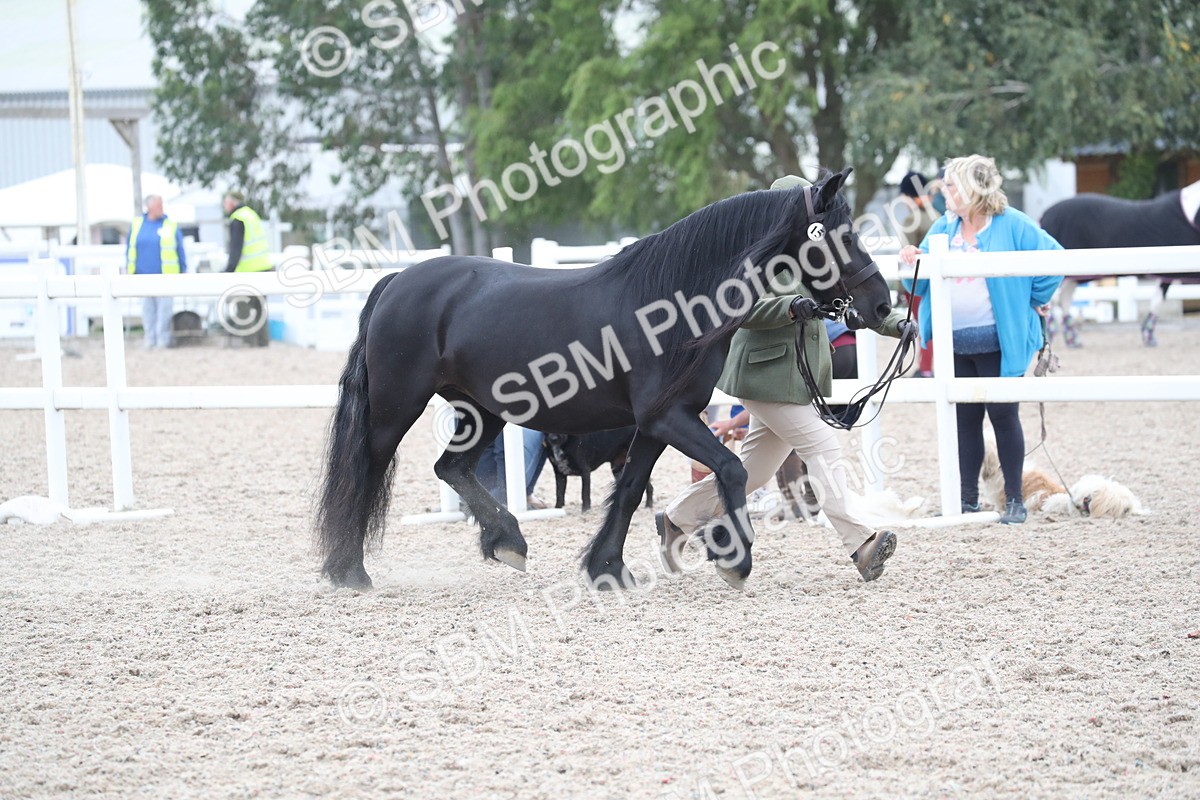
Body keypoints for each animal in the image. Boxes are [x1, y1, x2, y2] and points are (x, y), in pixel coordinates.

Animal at [315, 167, 894, 592]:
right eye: (840, 236)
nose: (882, 305)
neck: (671, 306)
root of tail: (397, 280)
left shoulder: (659, 423)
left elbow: (632, 488)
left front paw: (607, 569)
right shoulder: (668, 417)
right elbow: (729, 470)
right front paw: (734, 558)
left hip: (482, 411)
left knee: (450, 467)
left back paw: (508, 541)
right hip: (396, 409)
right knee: (367, 471)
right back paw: (351, 572)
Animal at [1040, 179, 1200, 347]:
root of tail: (1046, 213)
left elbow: (1157, 300)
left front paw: (1148, 337)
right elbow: (1158, 300)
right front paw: (1149, 337)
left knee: (1064, 298)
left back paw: (1073, 340)